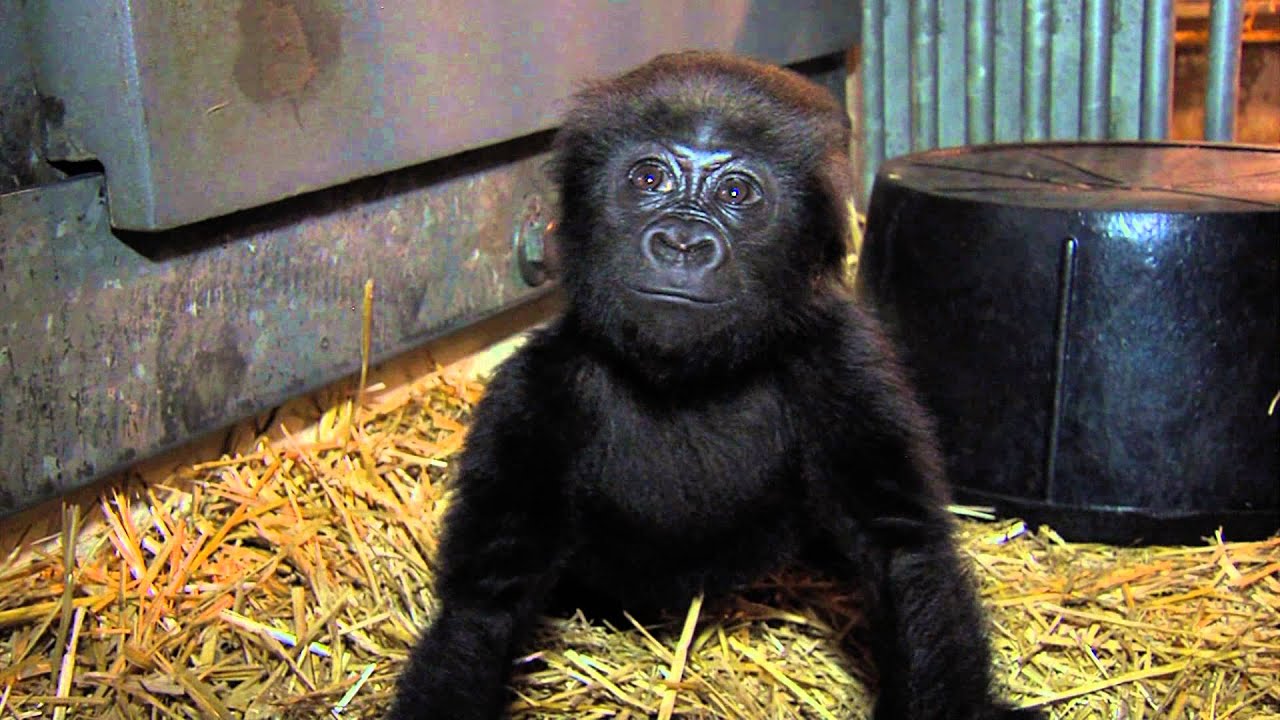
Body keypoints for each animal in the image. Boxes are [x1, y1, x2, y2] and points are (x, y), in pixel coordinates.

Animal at [389, 51, 1040, 720]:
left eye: (735, 193)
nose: (681, 243)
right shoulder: (533, 392)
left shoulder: (845, 363)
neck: (693, 380)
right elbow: (485, 605)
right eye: (649, 179)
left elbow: (905, 554)